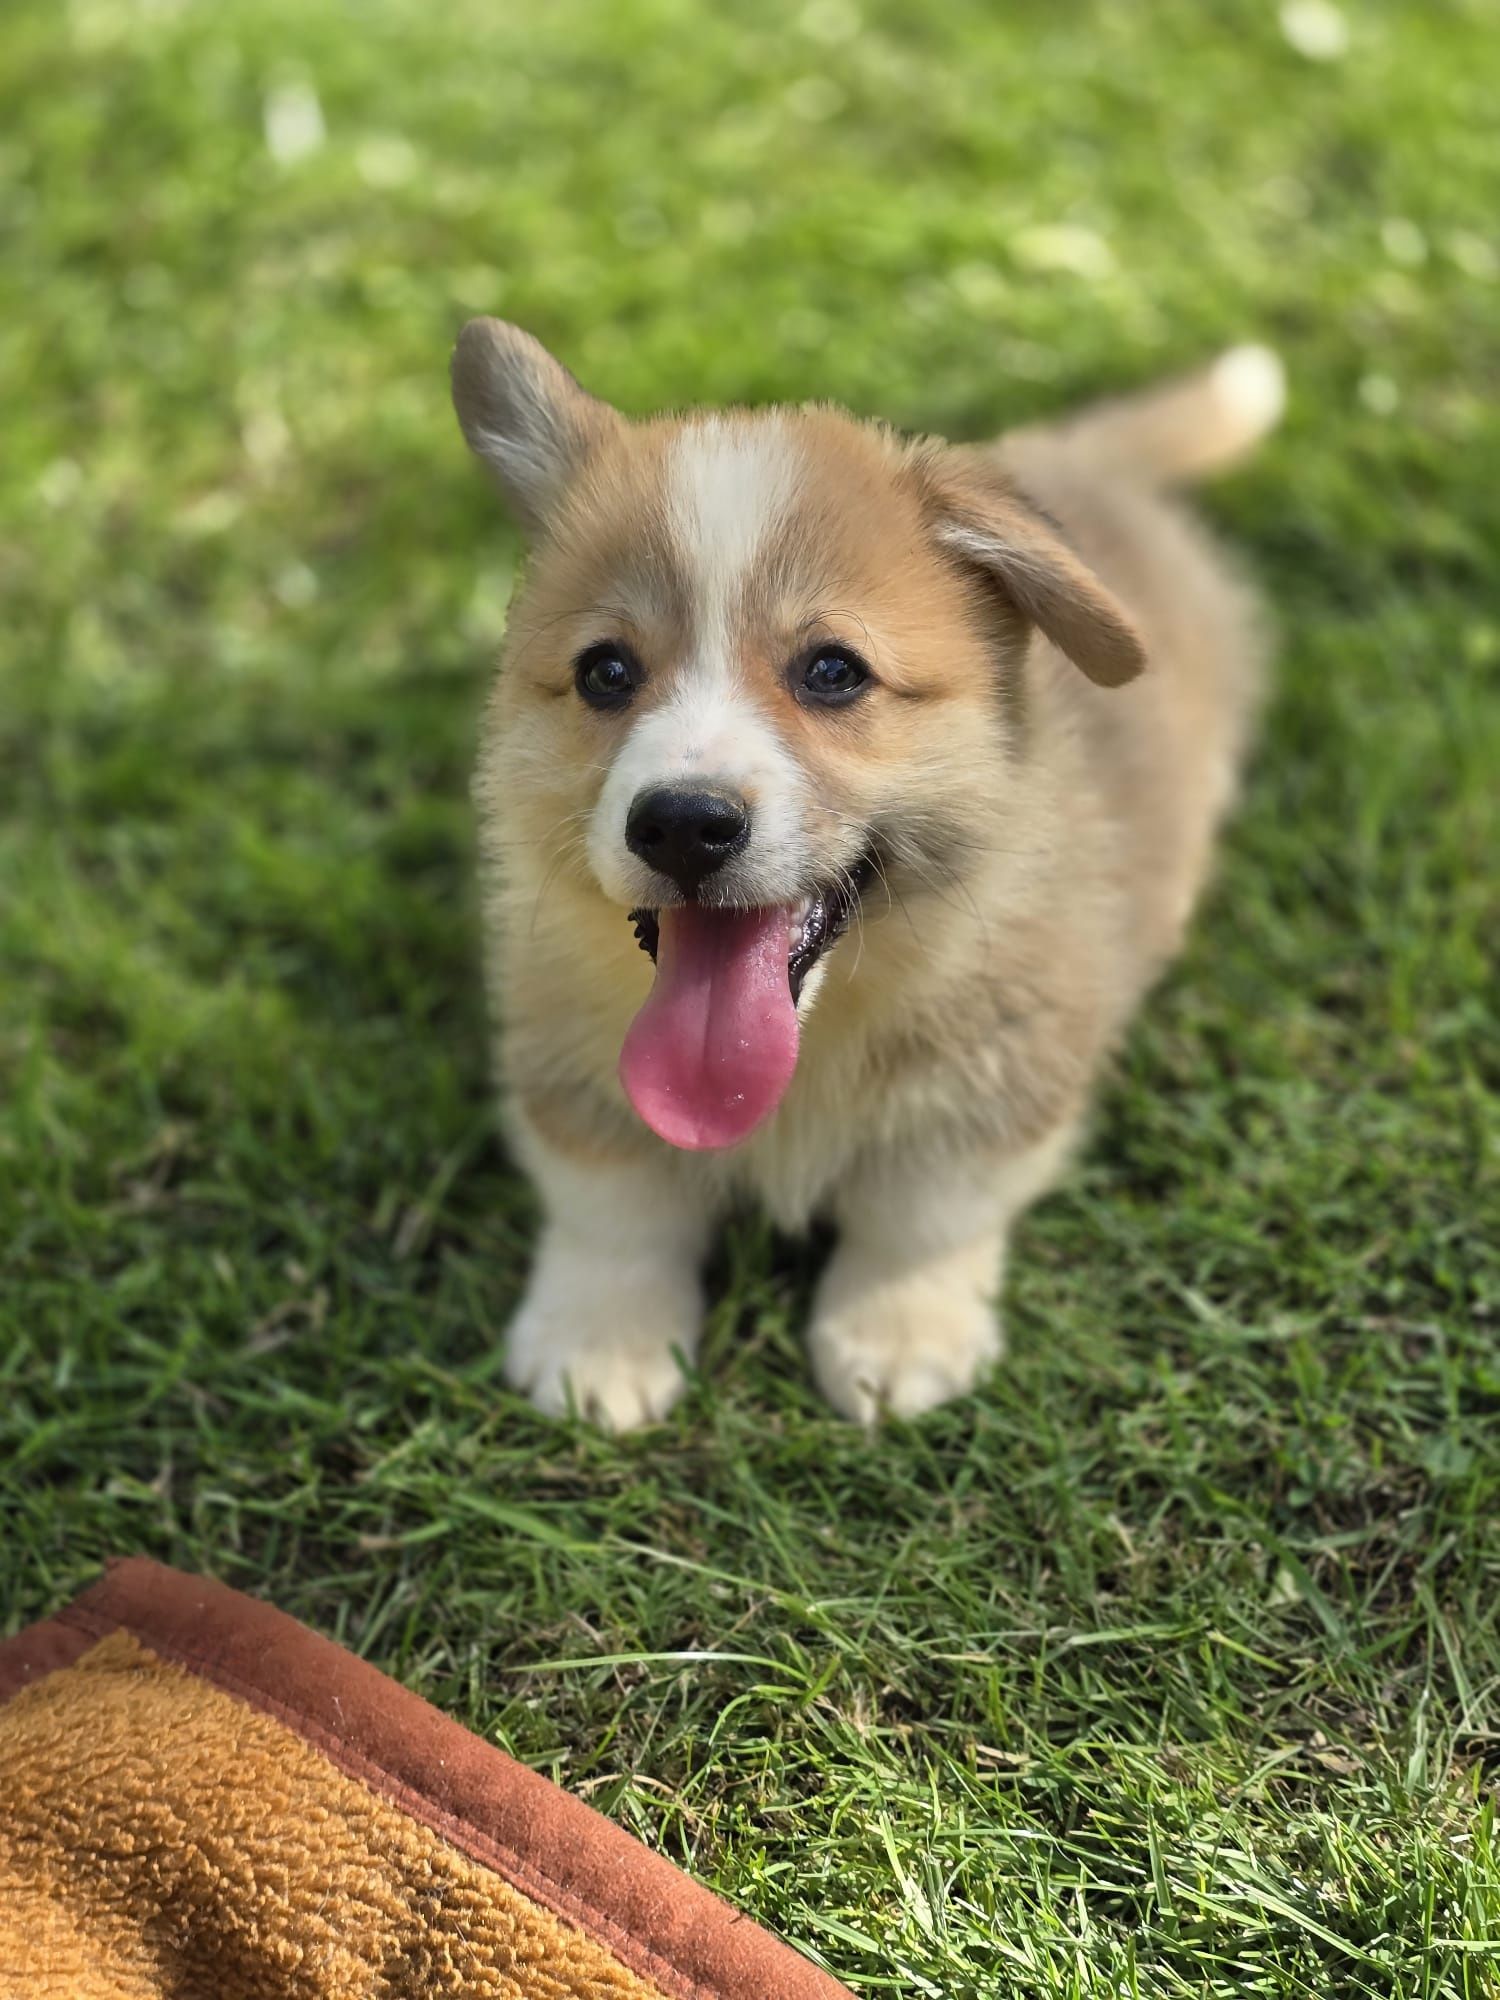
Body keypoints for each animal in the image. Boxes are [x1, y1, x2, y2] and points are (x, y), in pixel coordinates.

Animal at [452, 324, 1288, 1424]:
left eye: (833, 672)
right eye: (605, 672)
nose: (683, 826)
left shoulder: (1001, 1069)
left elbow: (924, 1212)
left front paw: (897, 1335)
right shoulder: (564, 1057)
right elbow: (612, 1205)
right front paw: (601, 1342)